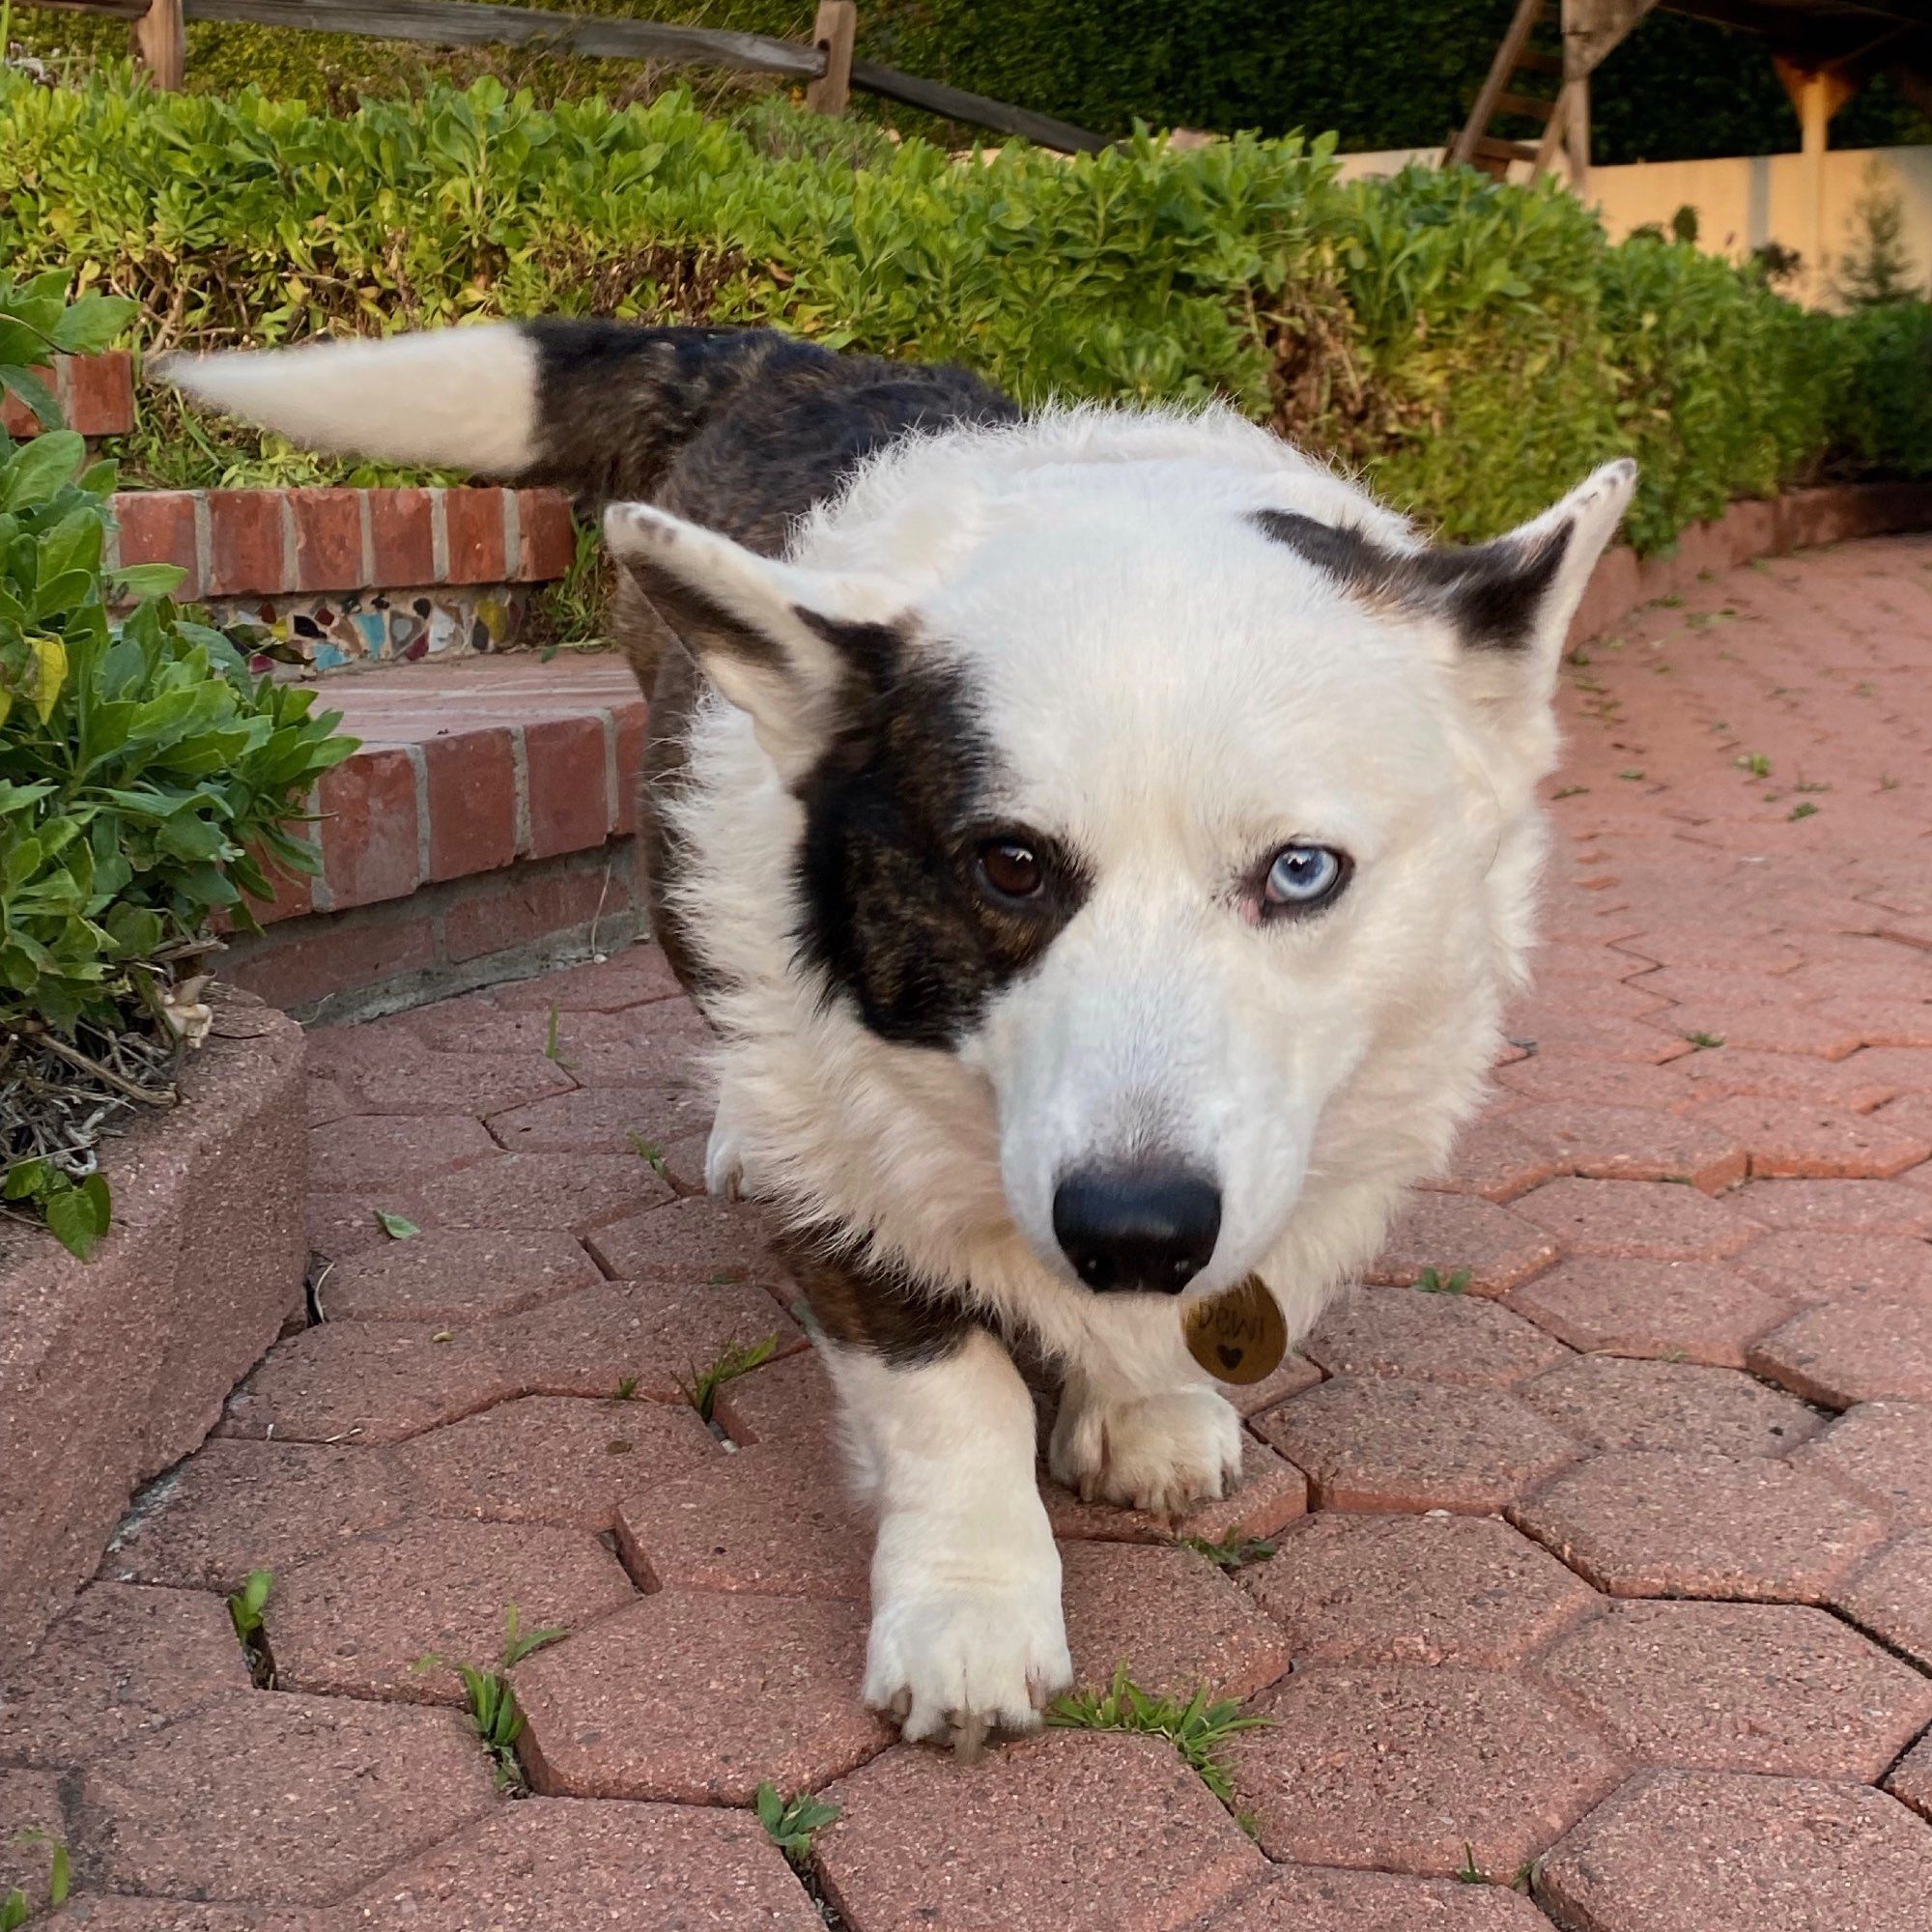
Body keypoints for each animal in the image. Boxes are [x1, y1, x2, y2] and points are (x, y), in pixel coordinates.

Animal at [166, 328, 1638, 1754]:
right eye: (1008, 865)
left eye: (1300, 872)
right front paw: (970, 1614)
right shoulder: (853, 1167)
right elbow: (949, 1395)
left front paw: (1148, 1409)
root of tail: (778, 355)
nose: (1133, 1232)